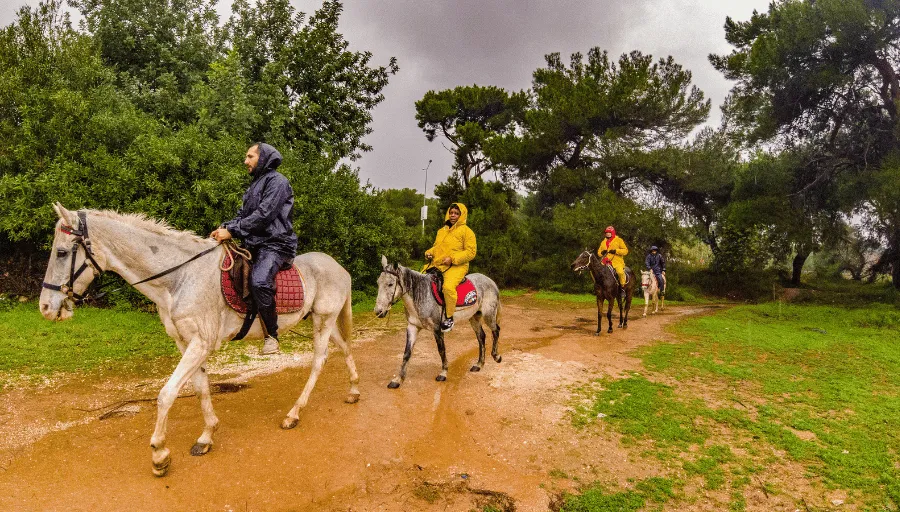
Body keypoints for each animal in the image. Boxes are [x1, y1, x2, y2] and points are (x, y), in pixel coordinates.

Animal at [39, 204, 359, 477]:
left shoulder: (201, 343)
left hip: (323, 320)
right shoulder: (187, 343)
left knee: (318, 361)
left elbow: (167, 394)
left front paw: (159, 455)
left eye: (62, 253)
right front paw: (206, 436)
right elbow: (201, 387)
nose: (45, 308)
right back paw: (354, 390)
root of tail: (339, 267)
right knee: (344, 347)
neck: (180, 279)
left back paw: (294, 414)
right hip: (323, 321)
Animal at [373, 256, 502, 387]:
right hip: (474, 317)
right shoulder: (413, 327)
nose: (378, 311)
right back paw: (479, 364)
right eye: (378, 282)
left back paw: (496, 356)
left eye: (390, 284)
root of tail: (490, 281)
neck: (421, 296)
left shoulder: (437, 329)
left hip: (489, 315)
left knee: (495, 330)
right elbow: (407, 353)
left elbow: (441, 350)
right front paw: (398, 380)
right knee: (481, 336)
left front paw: (443, 373)